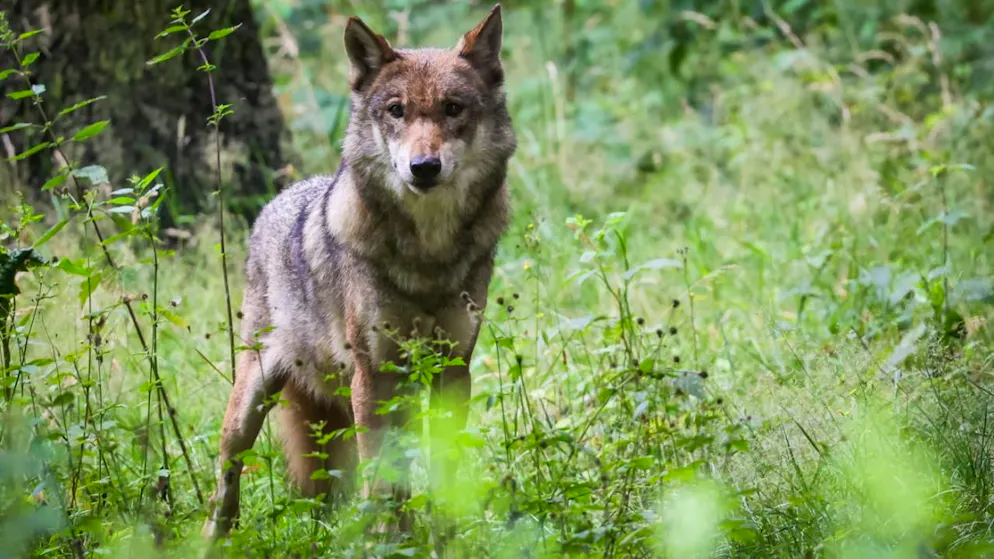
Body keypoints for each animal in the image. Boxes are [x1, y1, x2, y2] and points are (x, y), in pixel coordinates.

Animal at [202, 4, 516, 538]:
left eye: (453, 108)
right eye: (396, 111)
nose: (423, 167)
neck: (428, 254)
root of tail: (277, 201)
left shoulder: (453, 369)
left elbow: (444, 467)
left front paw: (446, 533)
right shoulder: (373, 374)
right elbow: (380, 474)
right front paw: (386, 540)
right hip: (251, 402)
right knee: (226, 478)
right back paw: (213, 539)